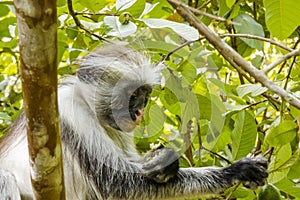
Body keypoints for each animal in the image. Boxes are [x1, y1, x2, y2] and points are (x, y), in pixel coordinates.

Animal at [0, 45, 268, 200]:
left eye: (145, 96)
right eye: (130, 95)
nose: (138, 113)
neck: (87, 105)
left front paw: (164, 162)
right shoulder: (69, 111)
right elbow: (119, 183)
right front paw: (232, 171)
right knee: (5, 178)